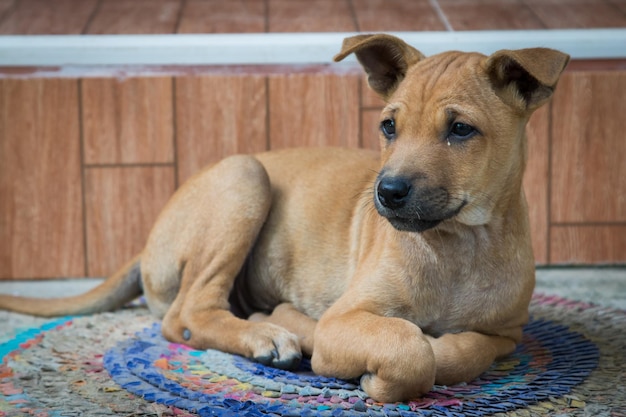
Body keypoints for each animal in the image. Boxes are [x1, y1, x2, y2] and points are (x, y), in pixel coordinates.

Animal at [0, 35, 564, 404]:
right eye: (388, 126)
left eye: (461, 130)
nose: (386, 193)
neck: (461, 244)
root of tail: (145, 247)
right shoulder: (347, 316)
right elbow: (409, 348)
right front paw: (368, 363)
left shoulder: (507, 334)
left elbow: (465, 349)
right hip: (245, 177)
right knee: (187, 316)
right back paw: (270, 335)